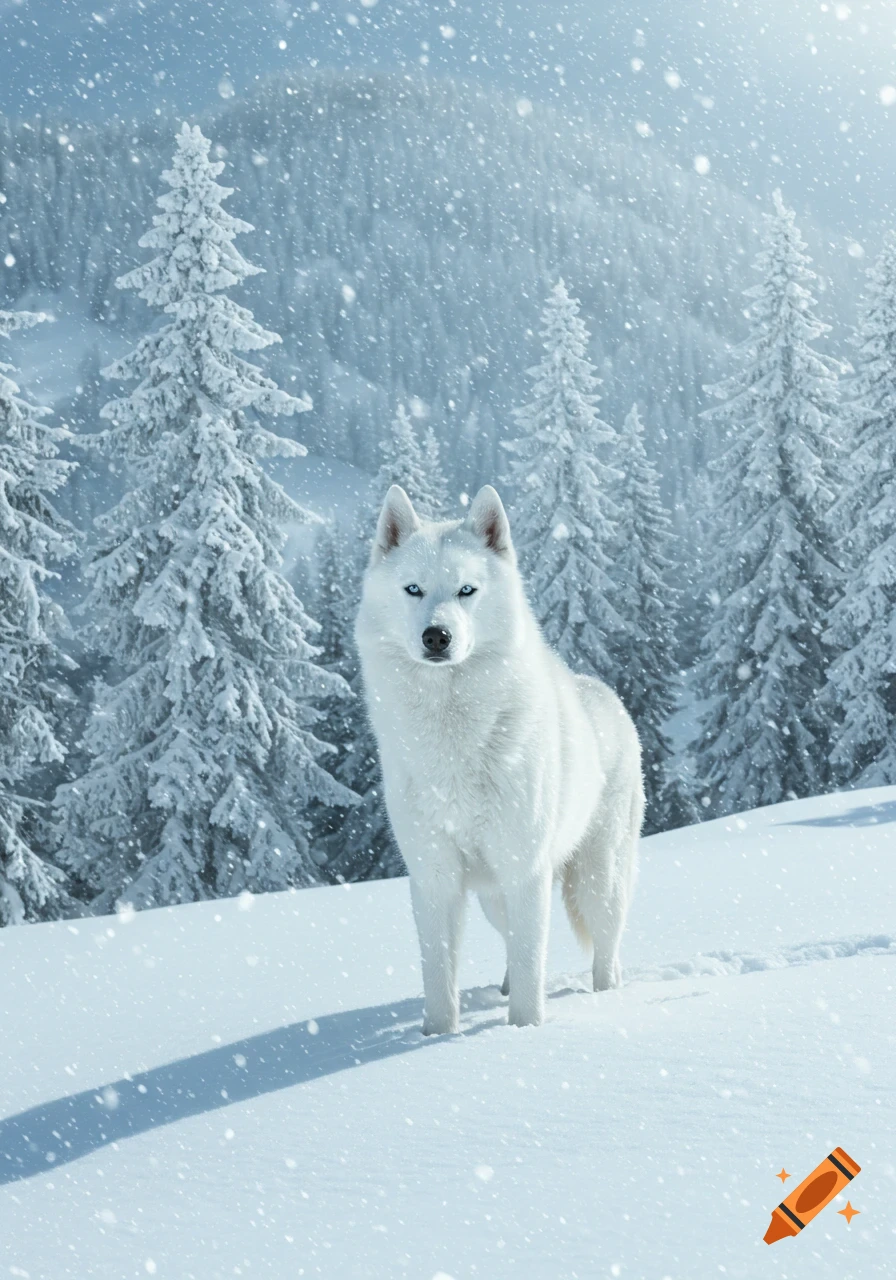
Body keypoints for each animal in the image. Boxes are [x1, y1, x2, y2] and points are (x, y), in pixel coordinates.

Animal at [355, 484, 644, 1034]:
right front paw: (438, 1037)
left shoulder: (523, 868)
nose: (437, 636)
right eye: (413, 590)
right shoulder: (434, 877)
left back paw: (605, 994)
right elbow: (439, 975)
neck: (453, 737)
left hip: (598, 880)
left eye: (467, 590)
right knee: (514, 940)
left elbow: (533, 966)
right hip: (494, 897)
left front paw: (524, 1031)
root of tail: (607, 695)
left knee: (605, 950)